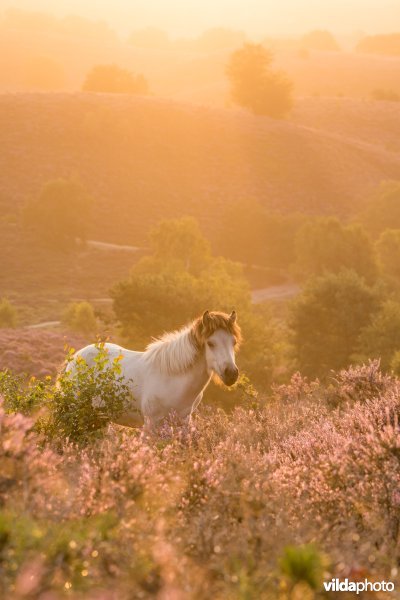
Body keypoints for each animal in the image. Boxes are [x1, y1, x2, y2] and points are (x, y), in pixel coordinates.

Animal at [64, 312, 242, 428]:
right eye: (211, 343)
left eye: (233, 342)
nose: (231, 374)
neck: (174, 381)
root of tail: (75, 358)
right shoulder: (151, 426)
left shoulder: (183, 424)